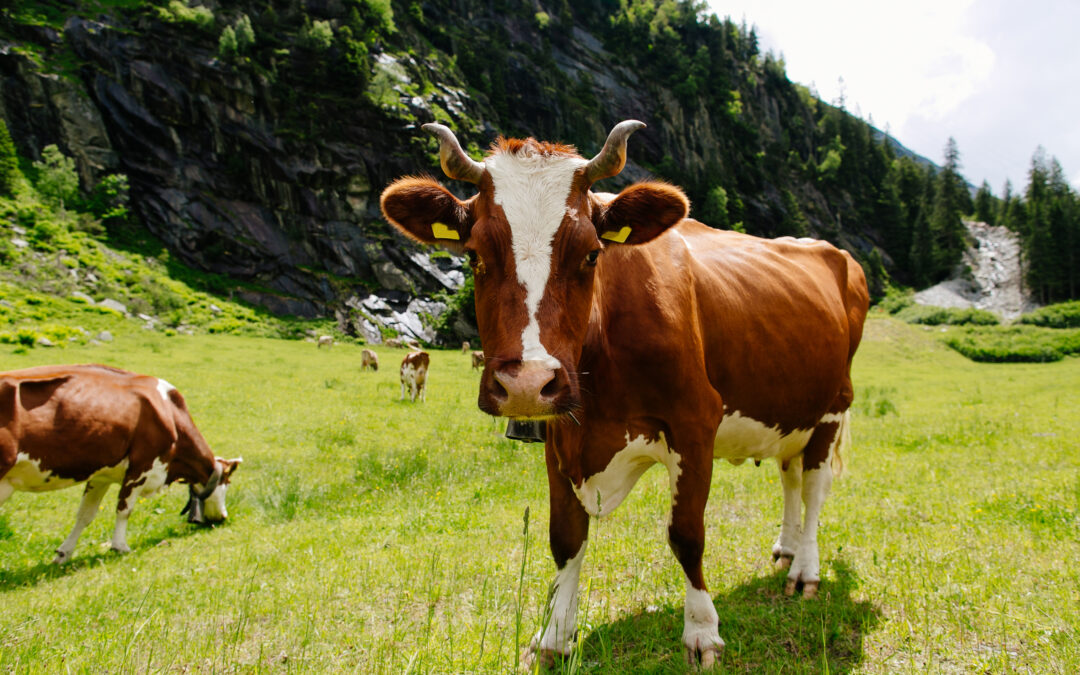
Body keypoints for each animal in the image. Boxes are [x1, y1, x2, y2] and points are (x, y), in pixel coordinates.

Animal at [0, 365, 240, 561]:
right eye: (227, 483)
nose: (223, 517)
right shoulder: (142, 468)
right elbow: (124, 510)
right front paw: (120, 546)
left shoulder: (101, 475)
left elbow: (85, 514)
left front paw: (64, 552)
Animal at [380, 119, 868, 665]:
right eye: (475, 255)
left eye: (592, 253)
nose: (527, 383)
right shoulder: (558, 434)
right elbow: (565, 537)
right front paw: (555, 635)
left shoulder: (695, 423)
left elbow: (687, 534)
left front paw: (702, 631)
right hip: (790, 410)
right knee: (790, 476)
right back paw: (786, 547)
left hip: (833, 407)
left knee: (814, 486)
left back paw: (805, 569)